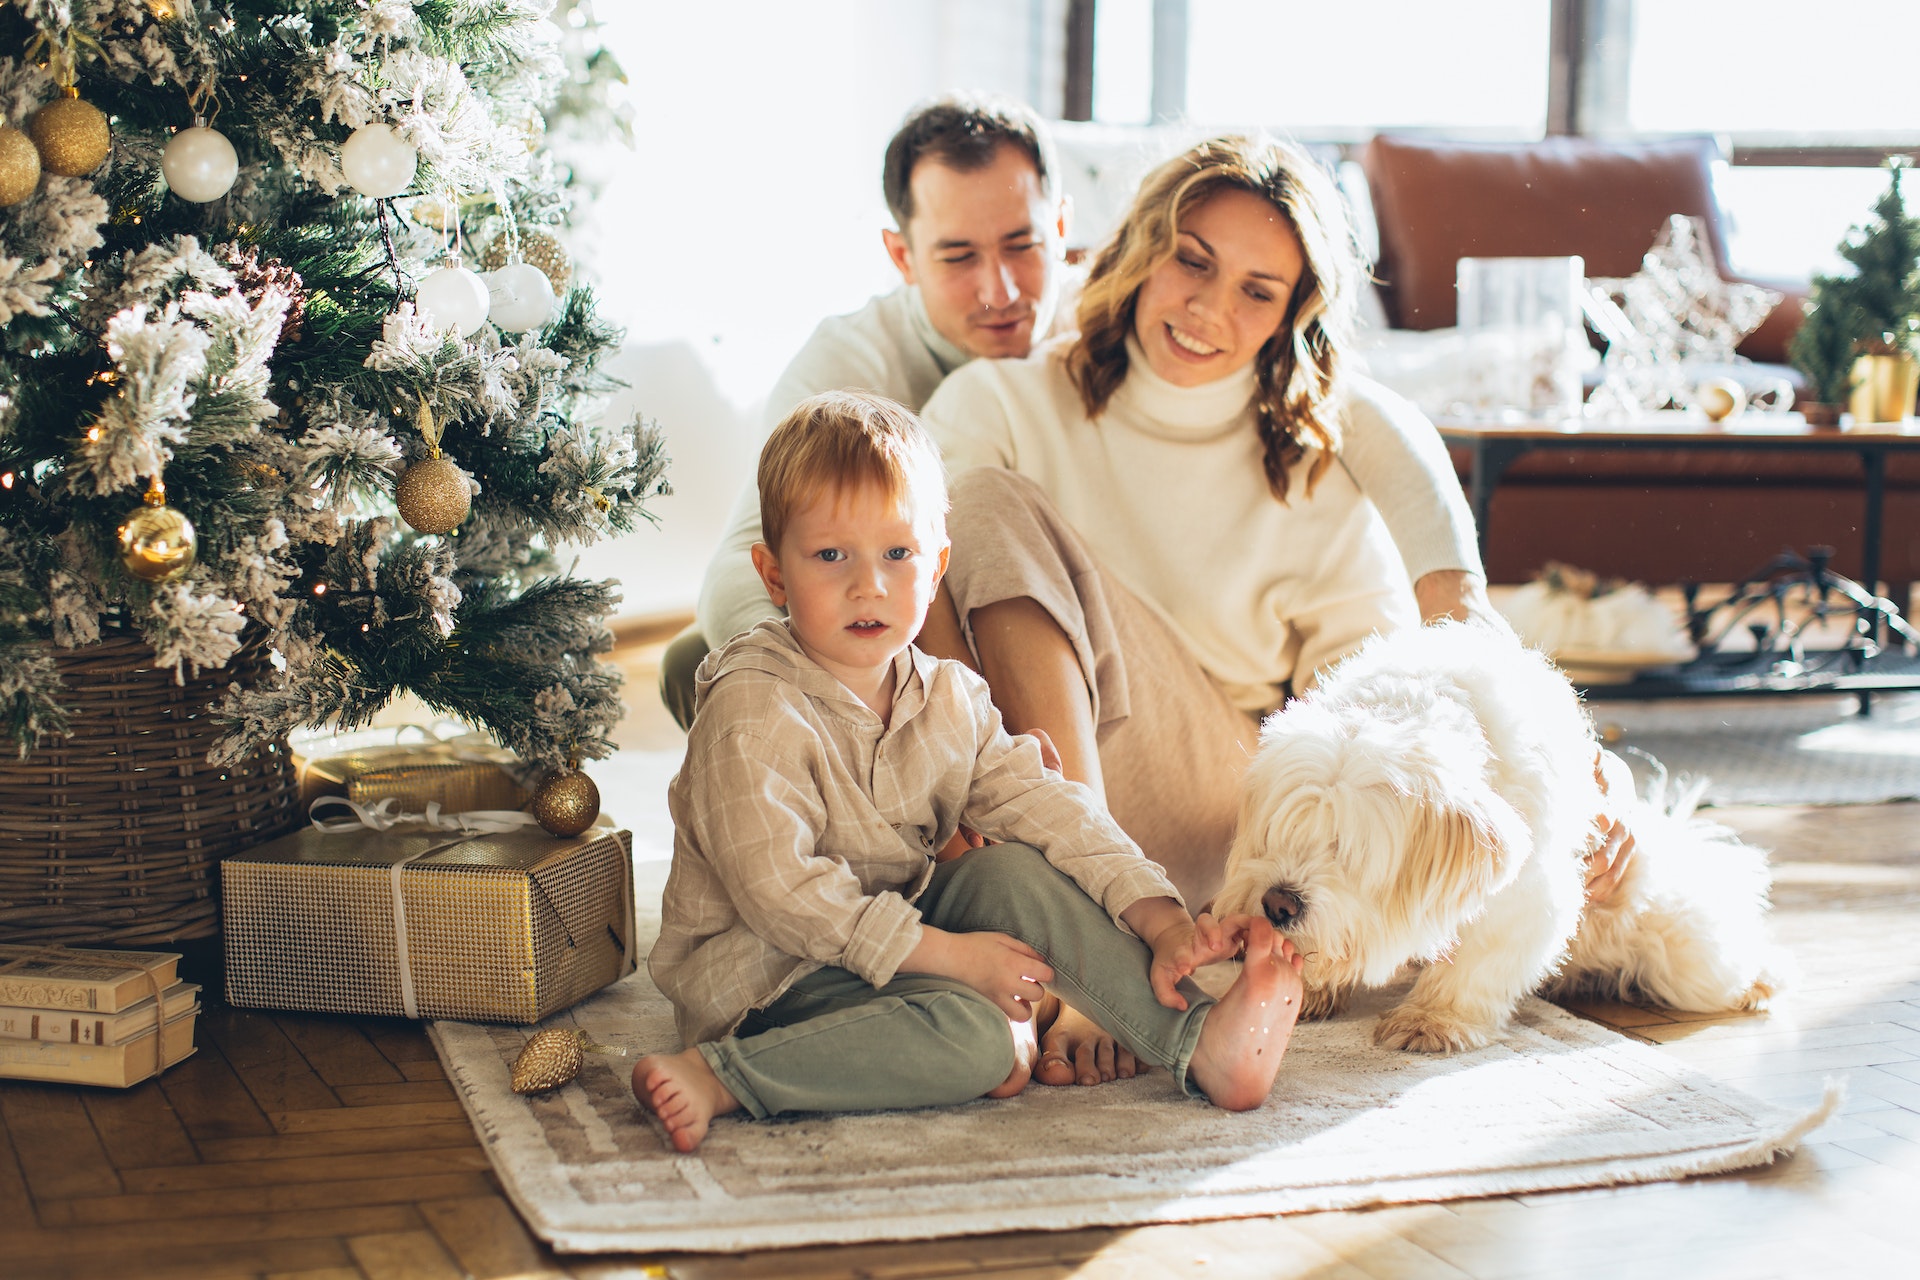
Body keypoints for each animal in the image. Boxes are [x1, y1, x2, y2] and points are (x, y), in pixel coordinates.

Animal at [1213, 621, 1781, 1051]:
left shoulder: (1529, 898)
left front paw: (1433, 1019)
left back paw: (1758, 978)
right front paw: (1314, 987)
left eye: (1347, 851)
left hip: (1683, 954)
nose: (1278, 904)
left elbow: (1478, 962)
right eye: (1278, 834)